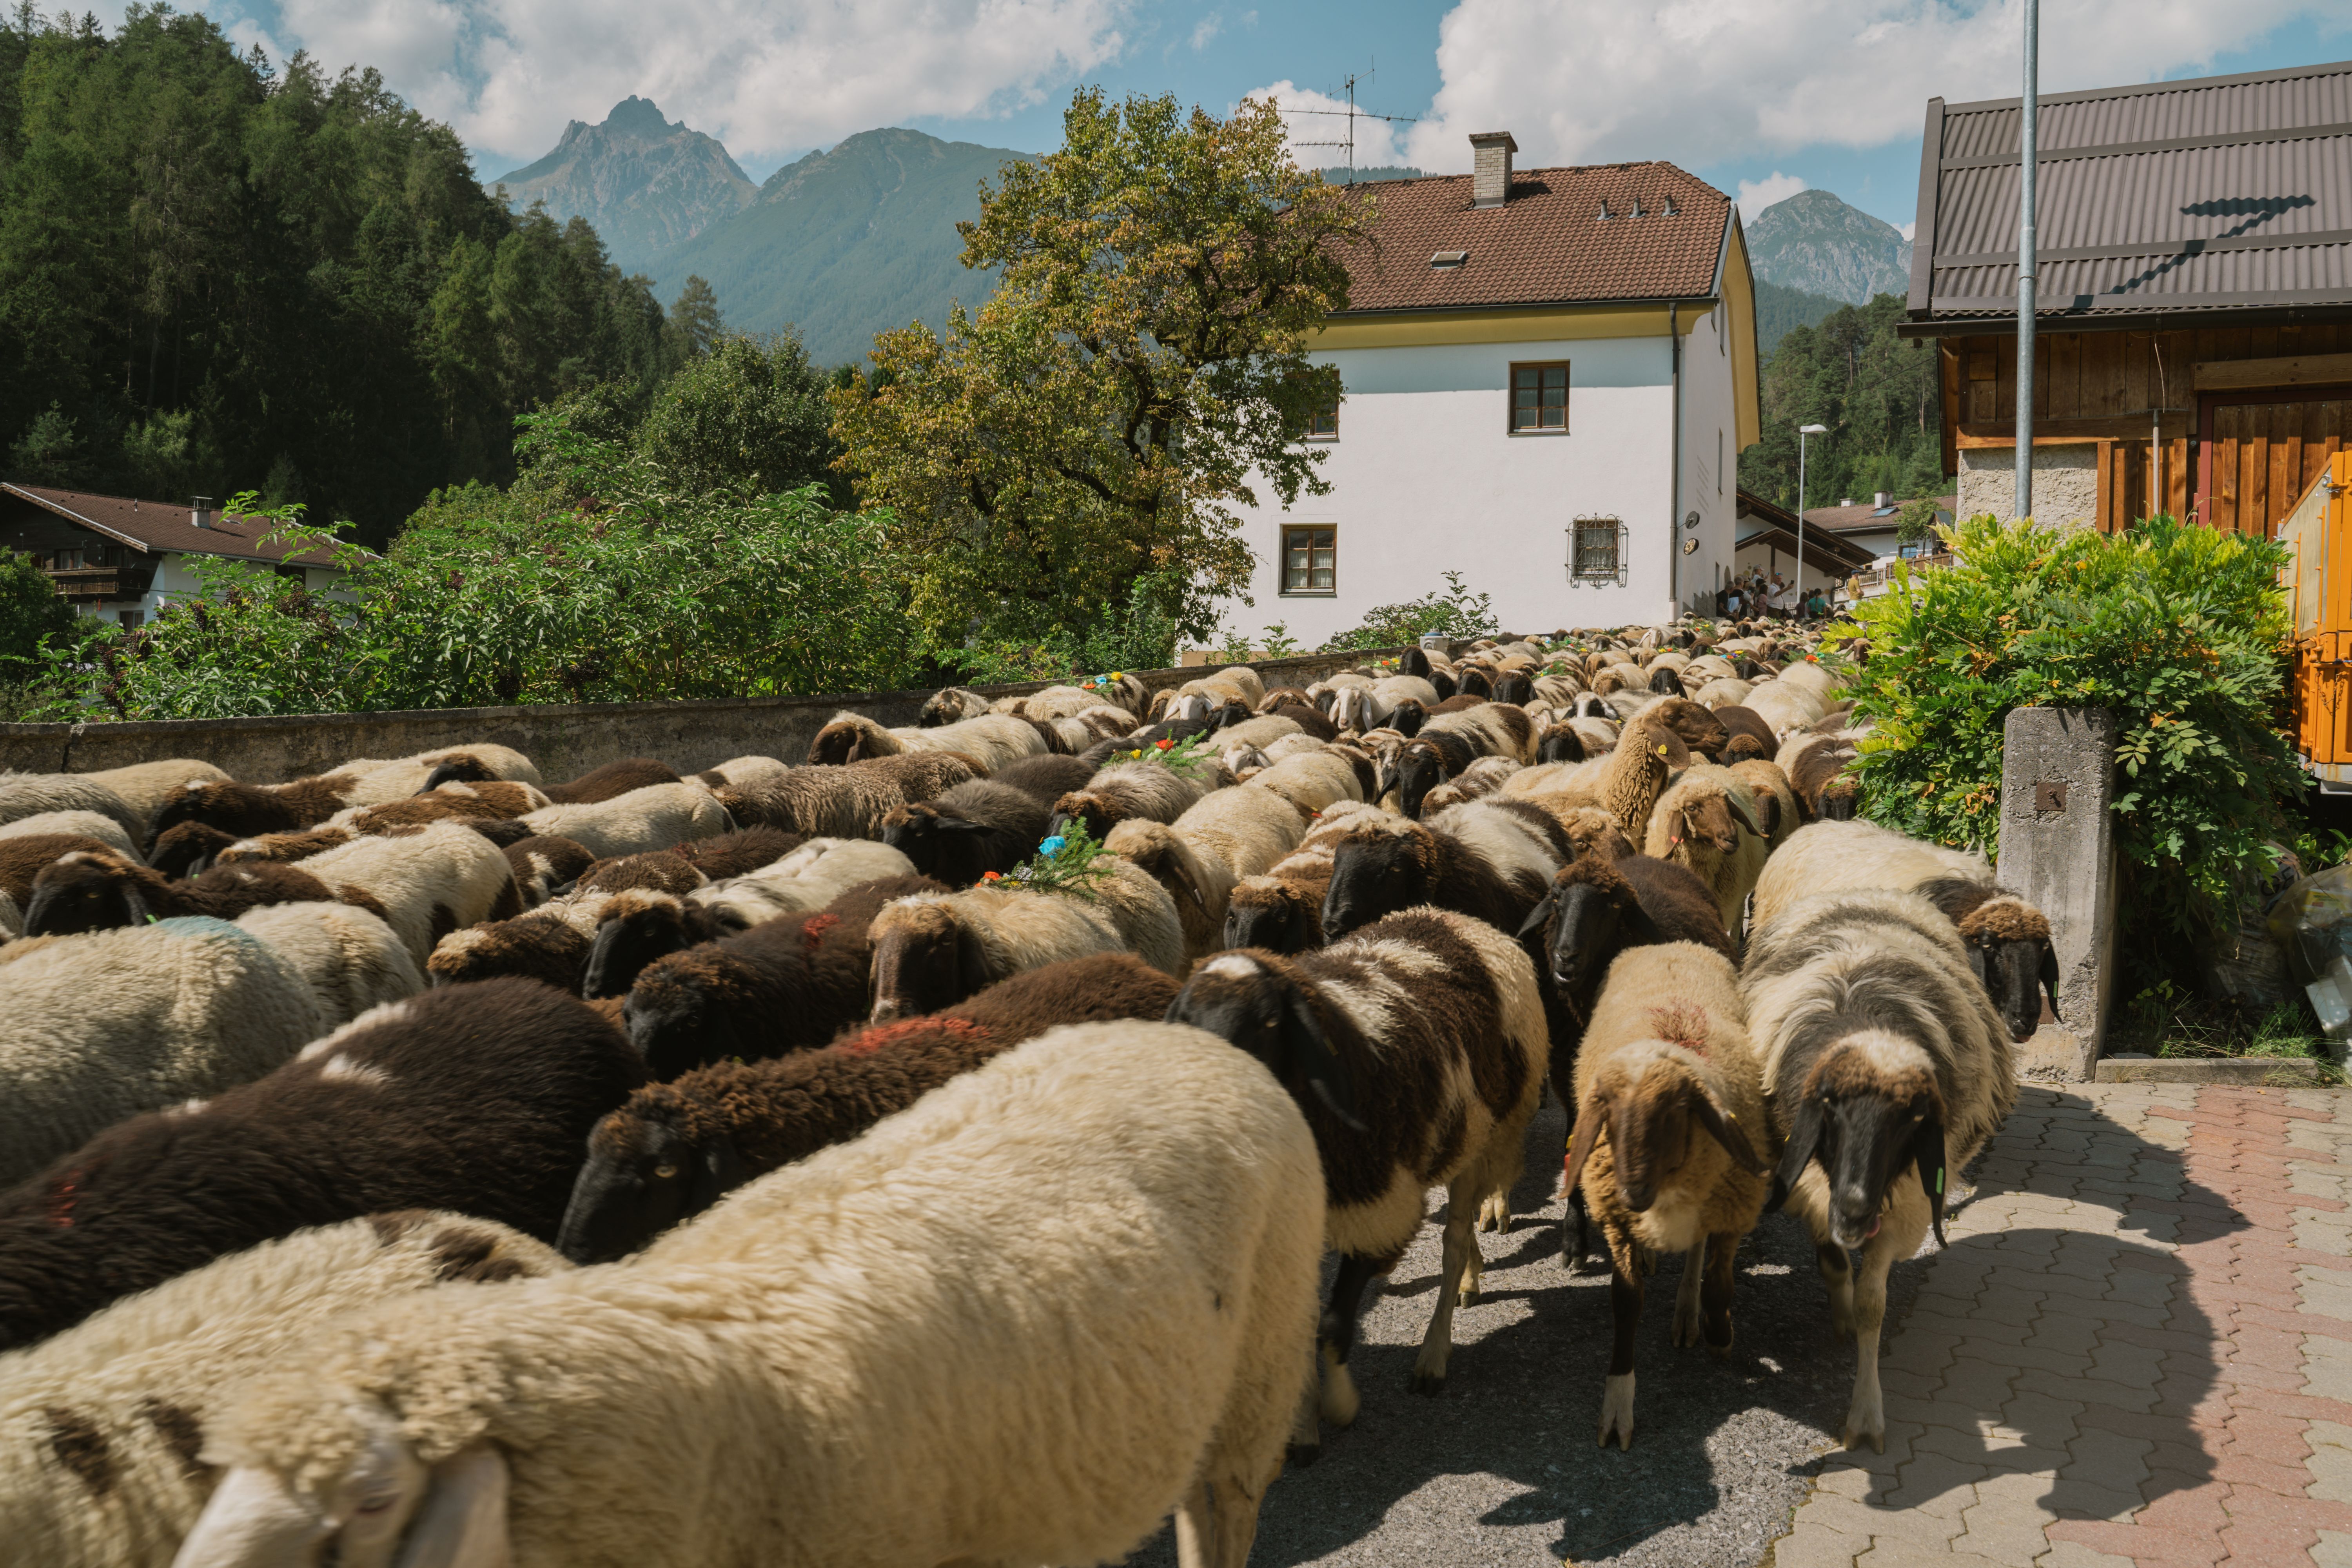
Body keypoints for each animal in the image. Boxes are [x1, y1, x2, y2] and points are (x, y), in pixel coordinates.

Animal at [1167, 902, 1552, 1439]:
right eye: (1185, 1021)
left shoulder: (1380, 1211)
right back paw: (1471, 1279)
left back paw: (1433, 1354)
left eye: (1269, 1022)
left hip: (1490, 1129)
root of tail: (1452, 918)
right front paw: (1302, 1420)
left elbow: (1331, 1323)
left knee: (1454, 1241)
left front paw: (1339, 1405)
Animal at [1562, 945, 1769, 1448]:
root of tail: (1670, 944)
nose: (1632, 1192)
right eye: (1609, 1114)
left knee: (1696, 1254)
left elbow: (1719, 1284)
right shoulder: (1617, 1221)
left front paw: (1720, 1333)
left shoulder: (1732, 1209)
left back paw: (1688, 1312)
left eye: (1674, 1113)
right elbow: (1626, 1300)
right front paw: (1618, 1403)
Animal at [1750, 888, 2023, 1457]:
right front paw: (1841, 1311)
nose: (1856, 1209)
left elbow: (1874, 1305)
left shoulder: (1907, 1207)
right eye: (1829, 1107)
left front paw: (1866, 1414)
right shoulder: (1811, 1188)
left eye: (1913, 1120)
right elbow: (1833, 1264)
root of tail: (1867, 891)